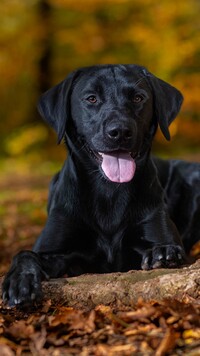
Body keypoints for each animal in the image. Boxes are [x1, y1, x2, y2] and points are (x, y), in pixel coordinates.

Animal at [2, 64, 199, 306]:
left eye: (138, 97)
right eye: (91, 98)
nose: (120, 131)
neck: (109, 192)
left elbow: (164, 246)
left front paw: (162, 252)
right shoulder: (56, 248)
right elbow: (25, 253)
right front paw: (20, 281)